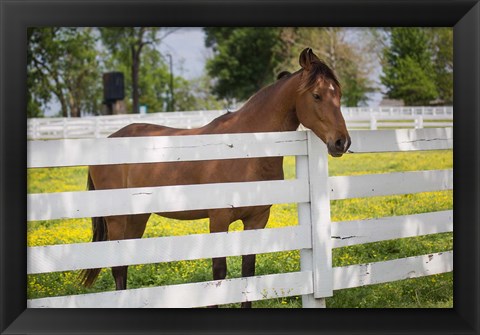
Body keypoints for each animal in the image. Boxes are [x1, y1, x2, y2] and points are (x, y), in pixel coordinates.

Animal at [80, 48, 350, 308]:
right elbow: (218, 273)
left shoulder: (257, 220)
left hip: (137, 217)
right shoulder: (219, 220)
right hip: (117, 219)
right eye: (316, 95)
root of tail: (109, 140)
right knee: (118, 266)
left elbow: (248, 271)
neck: (246, 150)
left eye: (339, 94)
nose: (342, 142)